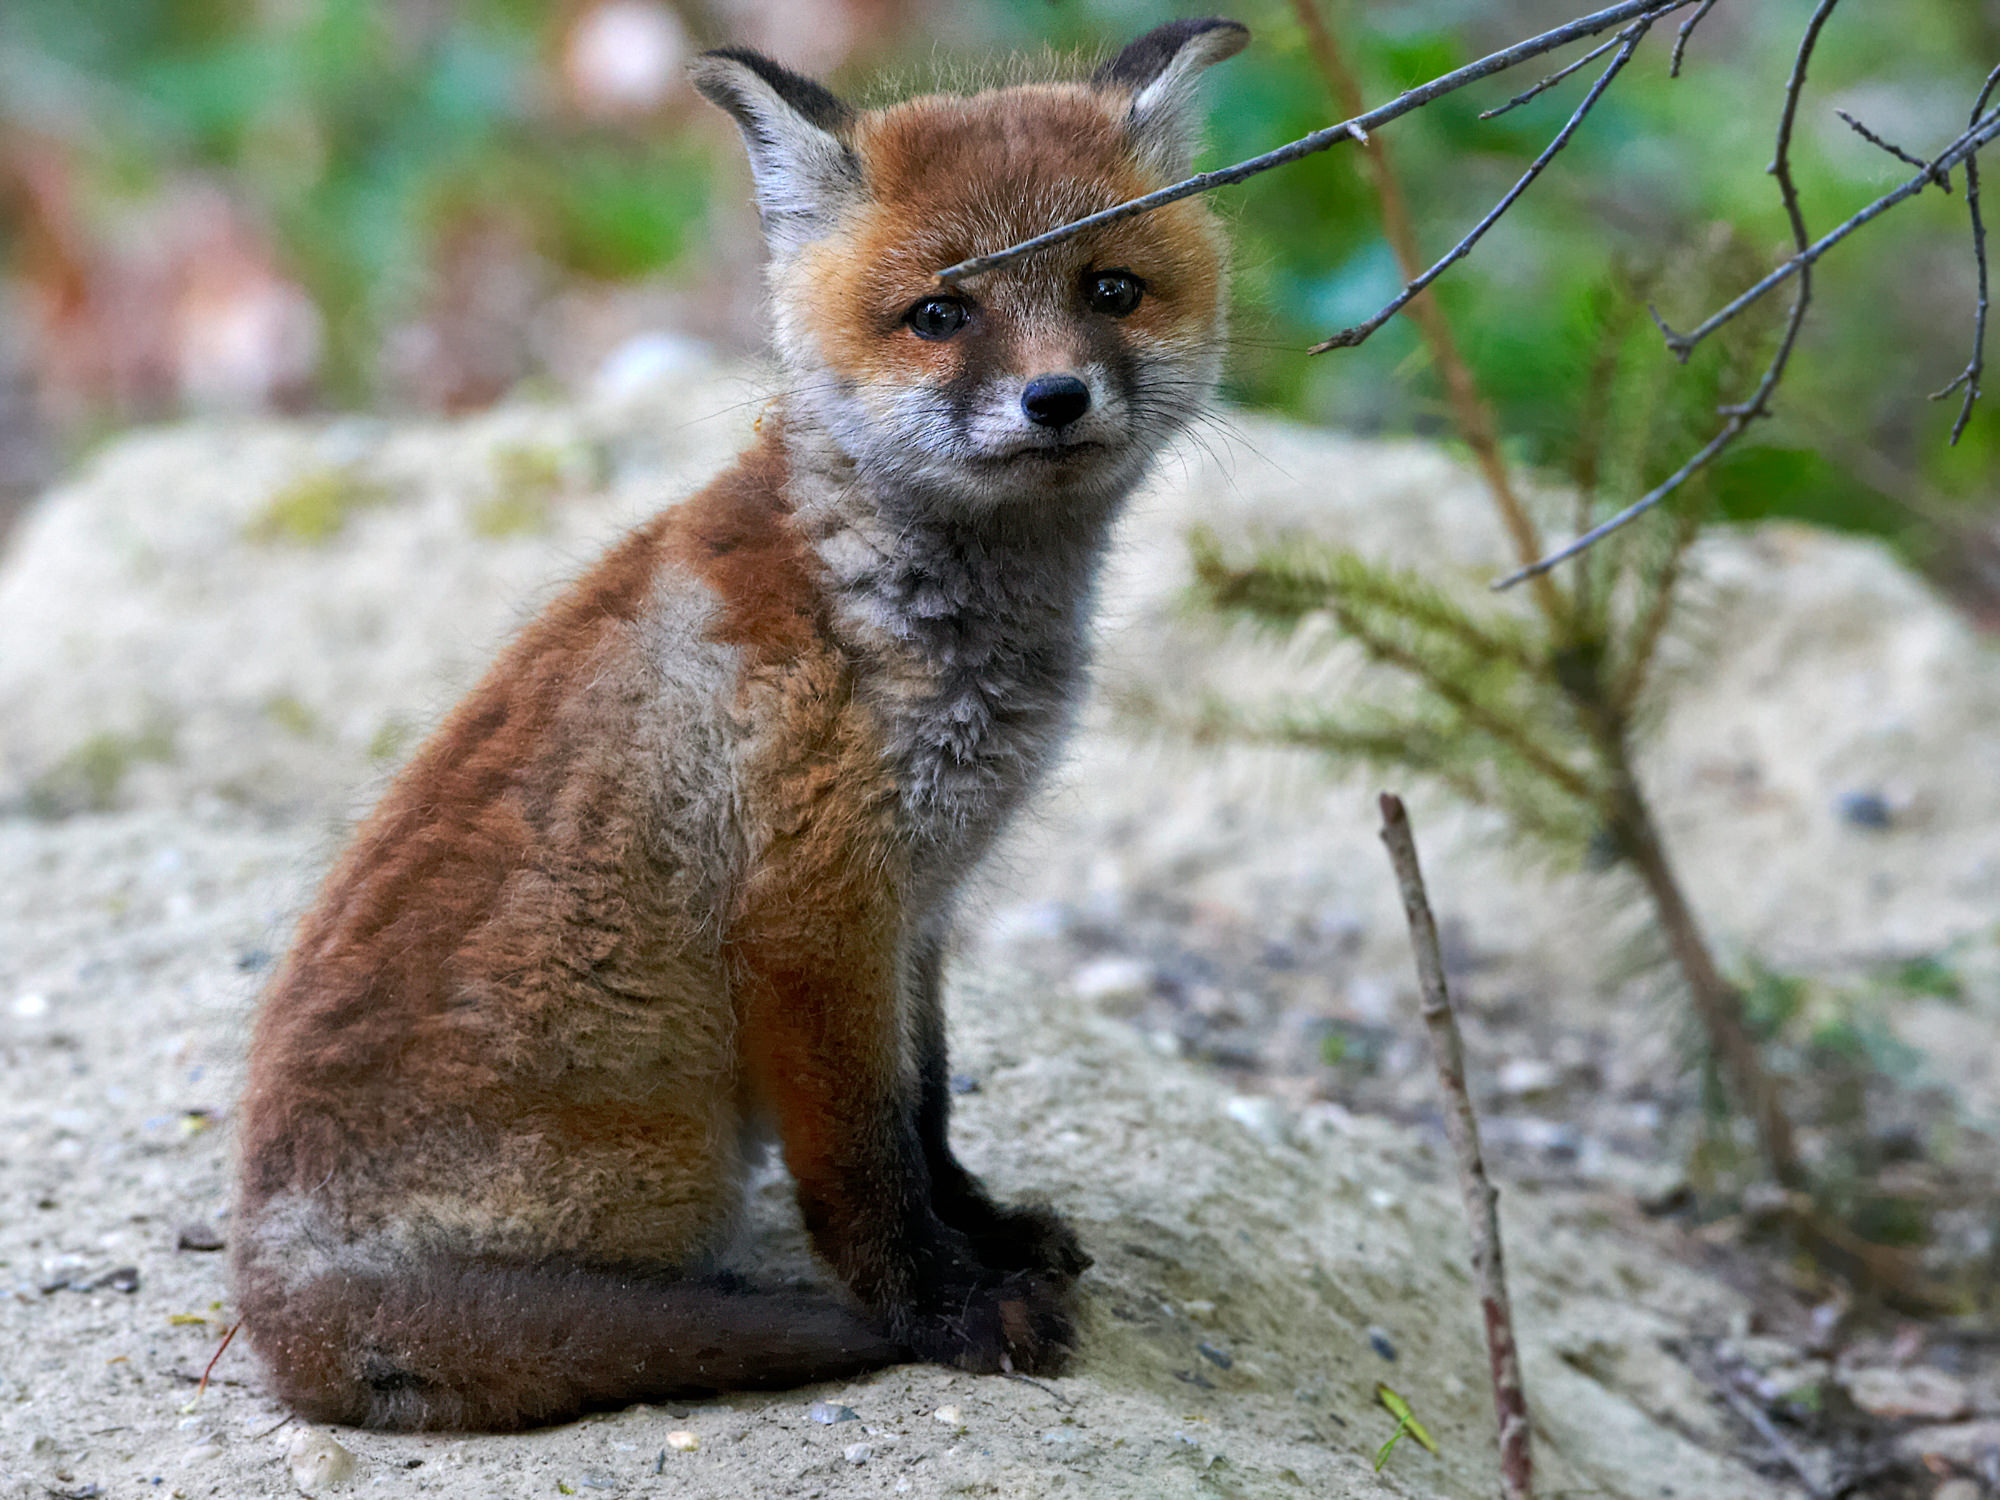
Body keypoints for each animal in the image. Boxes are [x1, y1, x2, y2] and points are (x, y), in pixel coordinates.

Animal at [229, 17, 1246, 1432]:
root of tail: (278, 1310)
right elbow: (866, 1165)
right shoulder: (813, 913)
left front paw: (981, 1231)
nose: (1054, 397)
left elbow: (927, 1113)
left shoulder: (917, 908)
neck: (877, 604)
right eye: (939, 314)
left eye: (1110, 288)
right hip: (676, 1163)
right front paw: (938, 1310)